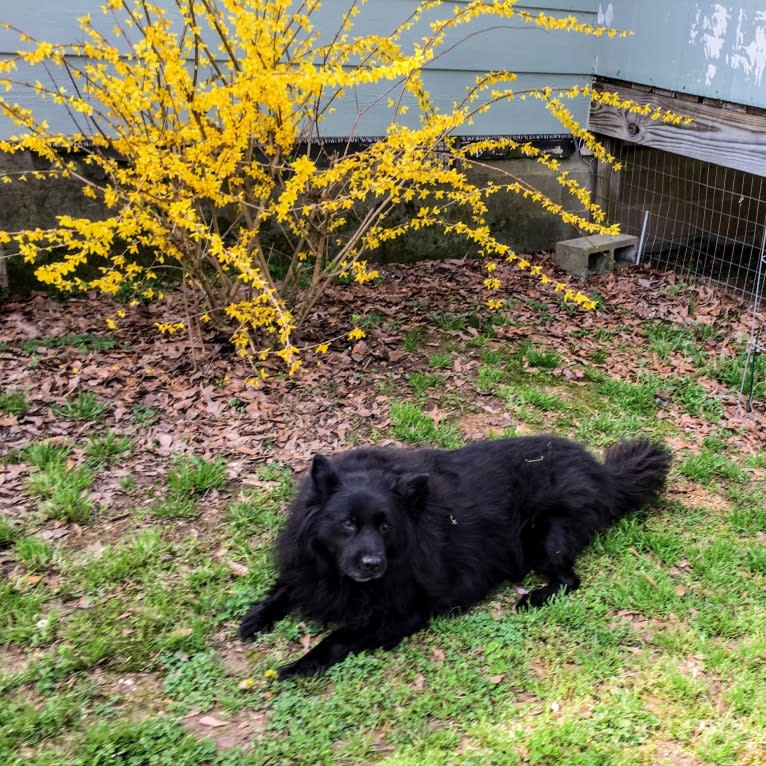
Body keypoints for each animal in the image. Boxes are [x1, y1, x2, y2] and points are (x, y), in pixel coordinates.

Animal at [240, 436, 672, 680]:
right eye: (347, 523)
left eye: (386, 527)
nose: (372, 565)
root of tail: (602, 474)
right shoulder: (308, 564)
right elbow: (287, 587)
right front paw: (256, 617)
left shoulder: (403, 612)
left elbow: (337, 638)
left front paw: (298, 665)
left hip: (544, 534)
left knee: (569, 579)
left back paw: (531, 598)